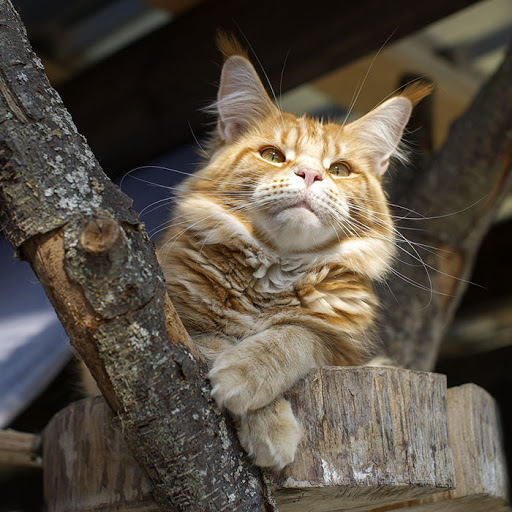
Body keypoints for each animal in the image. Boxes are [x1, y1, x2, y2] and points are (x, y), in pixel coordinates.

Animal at [157, 34, 432, 470]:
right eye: (272, 156)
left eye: (338, 170)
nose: (311, 174)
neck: (273, 272)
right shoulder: (174, 324)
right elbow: (213, 341)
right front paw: (265, 419)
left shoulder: (338, 350)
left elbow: (292, 336)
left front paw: (246, 378)